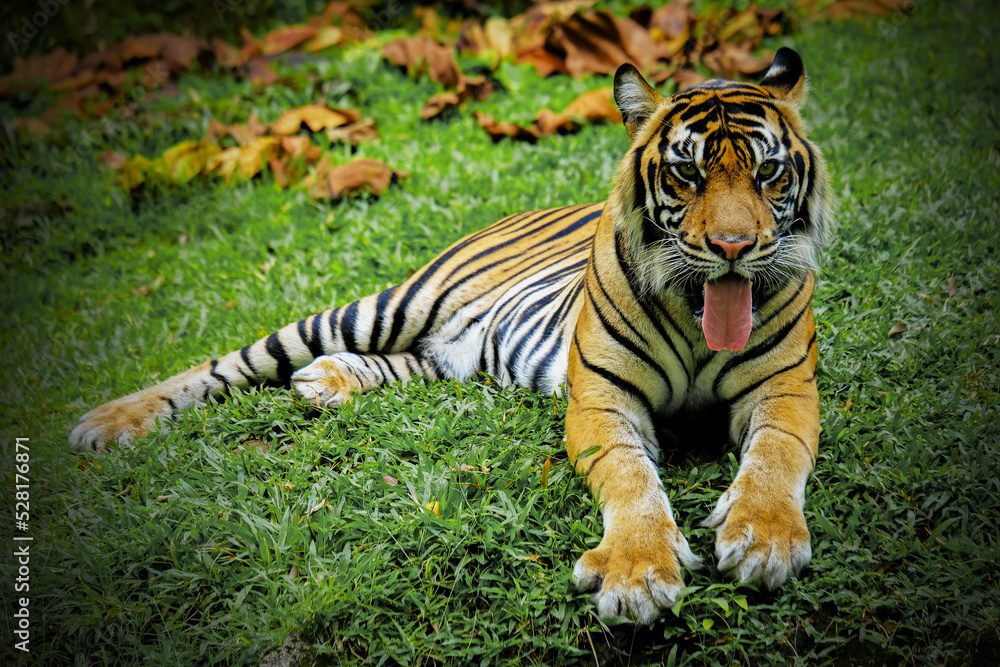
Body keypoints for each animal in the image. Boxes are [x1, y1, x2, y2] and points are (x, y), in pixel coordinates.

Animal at [70, 47, 830, 624]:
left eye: (767, 171)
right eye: (686, 172)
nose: (733, 247)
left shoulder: (786, 389)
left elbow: (776, 456)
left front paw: (762, 539)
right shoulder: (603, 402)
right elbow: (631, 479)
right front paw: (637, 572)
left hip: (449, 356)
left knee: (402, 363)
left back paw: (328, 382)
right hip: (385, 306)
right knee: (232, 361)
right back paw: (107, 423)